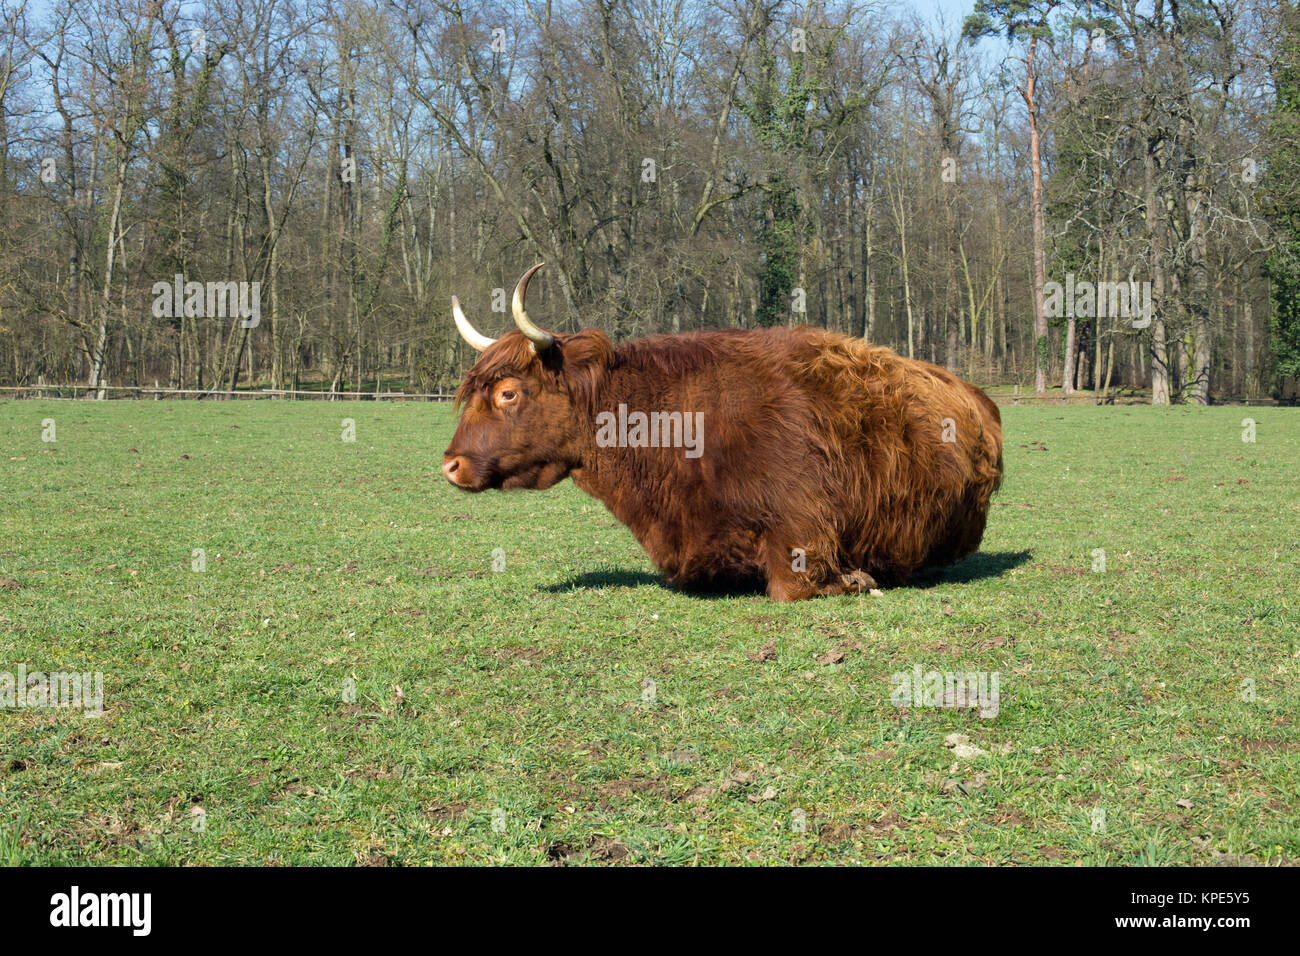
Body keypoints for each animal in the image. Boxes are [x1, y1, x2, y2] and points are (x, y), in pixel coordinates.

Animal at [442, 264, 1003, 601]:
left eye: (508, 393)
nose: (451, 464)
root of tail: (976, 396)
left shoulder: (803, 536)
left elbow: (797, 586)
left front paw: (860, 578)